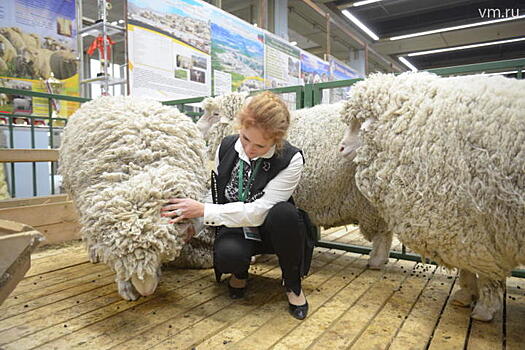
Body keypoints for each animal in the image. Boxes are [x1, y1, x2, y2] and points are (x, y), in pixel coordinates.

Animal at [338, 72, 520, 322]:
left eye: (359, 124)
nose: (340, 148)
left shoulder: (477, 229)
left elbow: (485, 274)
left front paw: (484, 309)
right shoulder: (463, 230)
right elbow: (466, 268)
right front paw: (466, 295)